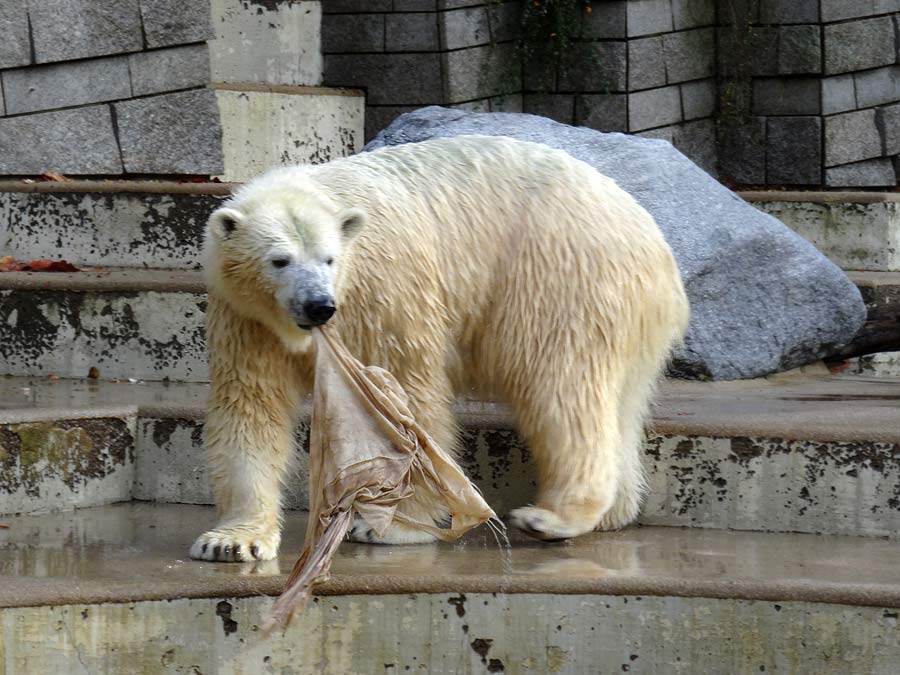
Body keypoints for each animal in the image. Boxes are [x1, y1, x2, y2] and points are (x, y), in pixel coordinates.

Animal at [192, 135, 688, 564]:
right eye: (280, 260)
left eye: (329, 258)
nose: (319, 305)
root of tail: (652, 238)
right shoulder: (247, 321)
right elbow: (251, 406)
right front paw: (231, 541)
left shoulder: (385, 292)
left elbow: (408, 398)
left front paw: (393, 527)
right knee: (617, 402)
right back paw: (613, 512)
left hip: (559, 277)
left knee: (560, 388)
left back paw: (551, 517)